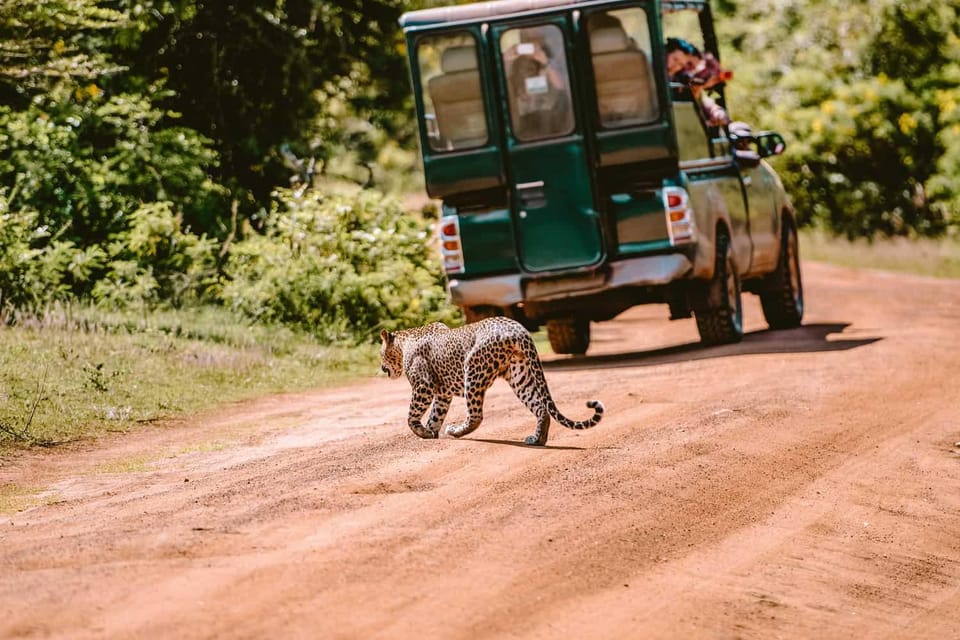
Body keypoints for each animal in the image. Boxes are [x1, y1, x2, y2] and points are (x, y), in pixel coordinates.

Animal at [378, 316, 604, 444]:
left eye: (381, 354)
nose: (381, 367)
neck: (404, 342)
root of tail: (519, 329)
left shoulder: (423, 386)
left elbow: (411, 415)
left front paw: (422, 431)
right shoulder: (442, 393)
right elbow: (436, 414)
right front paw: (430, 432)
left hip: (474, 370)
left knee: (476, 415)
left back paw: (456, 431)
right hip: (520, 374)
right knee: (540, 406)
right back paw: (537, 440)